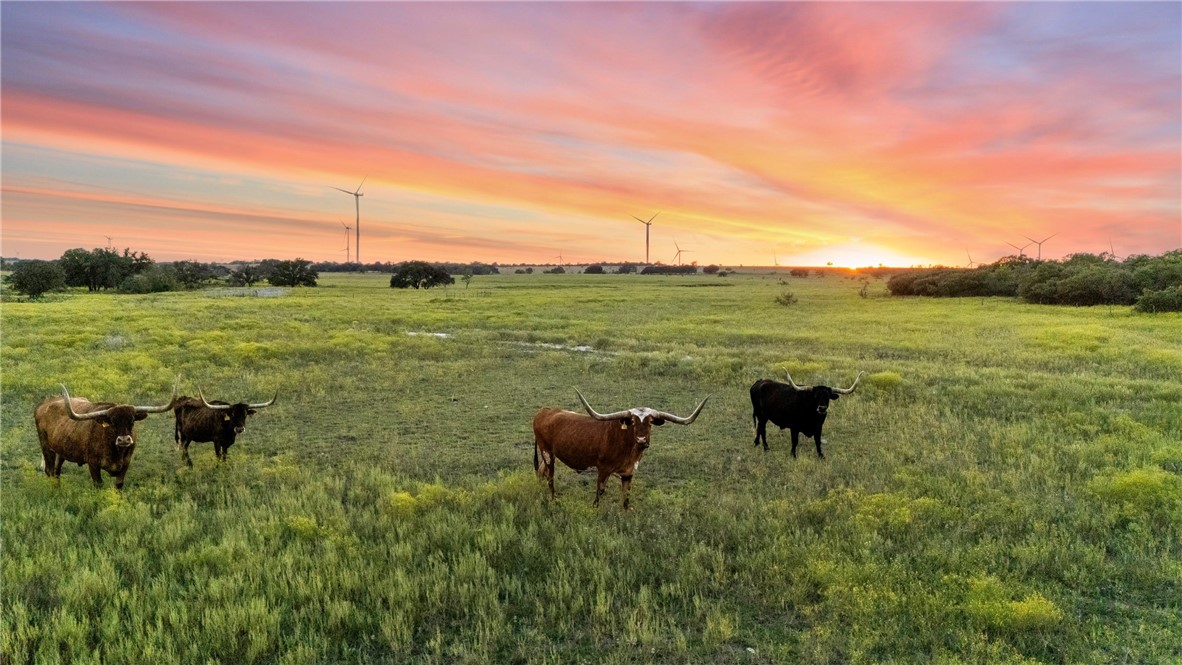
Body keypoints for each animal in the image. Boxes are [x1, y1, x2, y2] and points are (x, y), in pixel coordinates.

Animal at [34, 385, 174, 489]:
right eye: (112, 422)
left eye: (132, 420)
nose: (124, 440)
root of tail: (43, 404)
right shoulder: (93, 464)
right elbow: (98, 484)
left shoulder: (126, 463)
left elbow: (119, 484)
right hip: (46, 447)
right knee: (50, 470)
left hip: (60, 450)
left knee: (56, 472)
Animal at [536, 389, 709, 510]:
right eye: (632, 421)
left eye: (650, 422)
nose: (641, 440)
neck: (629, 449)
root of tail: (544, 410)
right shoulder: (603, 470)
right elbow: (600, 491)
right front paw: (594, 509)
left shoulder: (628, 473)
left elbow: (626, 496)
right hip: (547, 452)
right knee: (550, 477)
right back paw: (553, 499)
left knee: (541, 471)